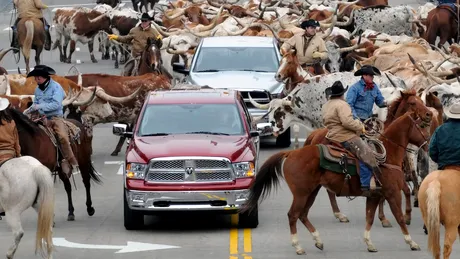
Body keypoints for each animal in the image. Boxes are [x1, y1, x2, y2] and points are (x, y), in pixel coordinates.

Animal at [244, 110, 432, 255]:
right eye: (422, 126)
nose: (428, 144)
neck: (388, 155)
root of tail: (290, 153)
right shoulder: (392, 194)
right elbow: (399, 218)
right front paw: (412, 242)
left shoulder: (374, 196)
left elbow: (369, 218)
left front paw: (369, 243)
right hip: (301, 194)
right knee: (293, 215)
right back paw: (298, 247)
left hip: (312, 192)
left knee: (303, 215)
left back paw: (318, 240)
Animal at [304, 89, 434, 228]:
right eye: (412, 103)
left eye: (422, 101)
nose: (429, 114)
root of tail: (315, 134)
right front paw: (384, 218)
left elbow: (402, 190)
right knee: (329, 192)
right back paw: (339, 214)